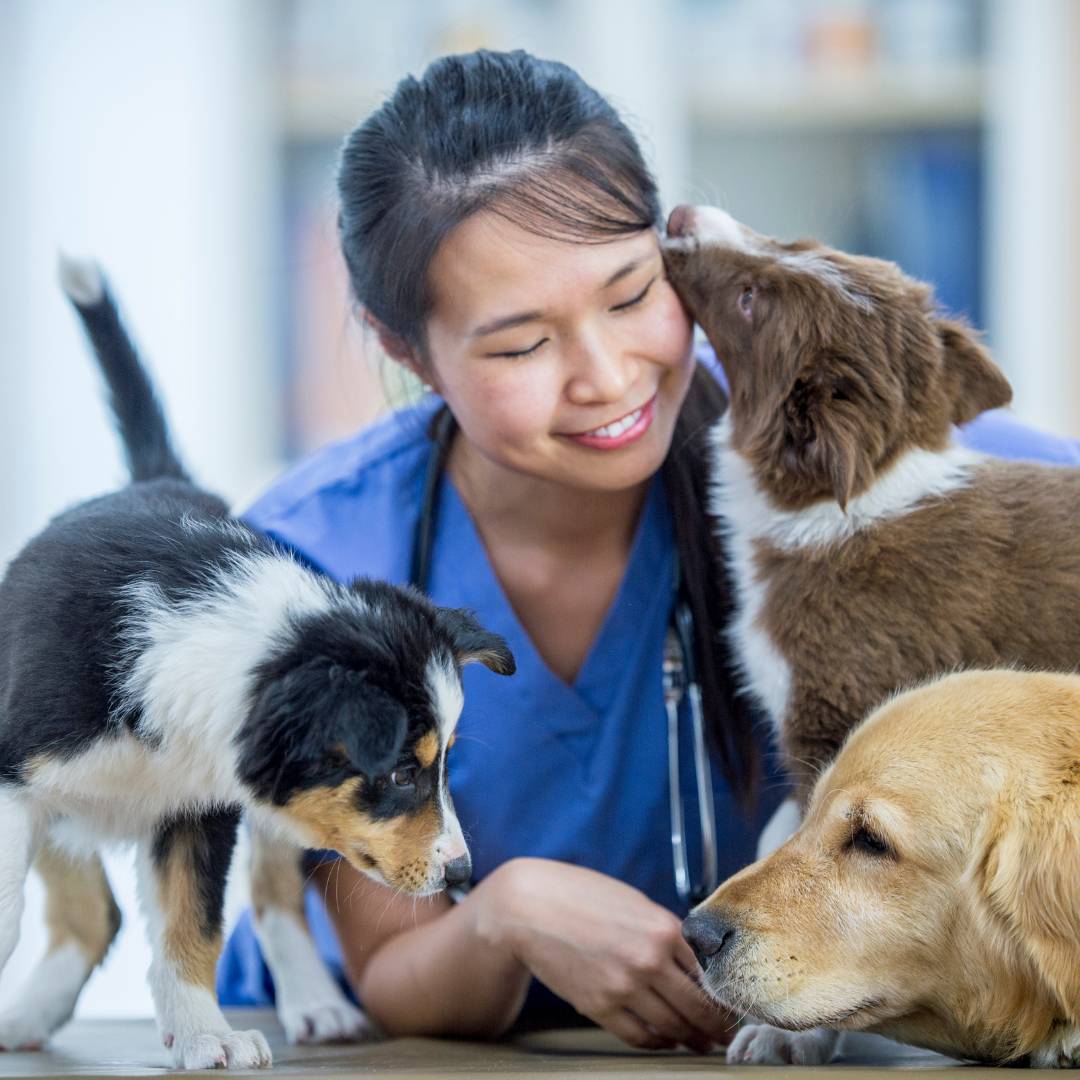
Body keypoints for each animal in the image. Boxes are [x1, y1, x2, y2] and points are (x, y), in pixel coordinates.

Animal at [0, 257, 514, 1067]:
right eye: (403, 772)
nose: (463, 875)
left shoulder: (196, 810)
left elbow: (192, 926)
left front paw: (207, 1037)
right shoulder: (16, 772)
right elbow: (10, 908)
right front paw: (201, 1034)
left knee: (268, 898)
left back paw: (316, 1007)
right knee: (91, 909)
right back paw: (28, 1014)